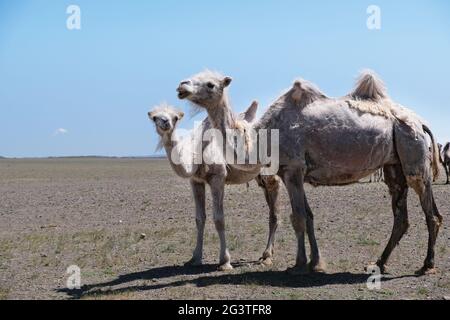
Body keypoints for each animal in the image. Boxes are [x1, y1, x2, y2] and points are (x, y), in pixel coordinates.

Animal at [148, 102, 282, 268]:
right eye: (155, 117)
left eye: (175, 117)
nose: (165, 122)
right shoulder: (196, 181)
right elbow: (199, 219)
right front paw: (194, 258)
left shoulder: (218, 177)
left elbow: (219, 219)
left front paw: (225, 261)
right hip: (260, 178)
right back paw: (268, 253)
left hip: (270, 173)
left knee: (274, 208)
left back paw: (267, 255)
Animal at [177, 70, 442, 276]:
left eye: (210, 84)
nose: (181, 86)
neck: (263, 136)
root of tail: (421, 122)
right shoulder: (291, 173)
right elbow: (308, 216)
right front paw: (315, 262)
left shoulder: (293, 169)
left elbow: (298, 218)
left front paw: (298, 264)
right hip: (394, 165)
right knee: (401, 217)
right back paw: (379, 263)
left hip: (413, 154)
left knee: (432, 214)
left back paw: (427, 265)